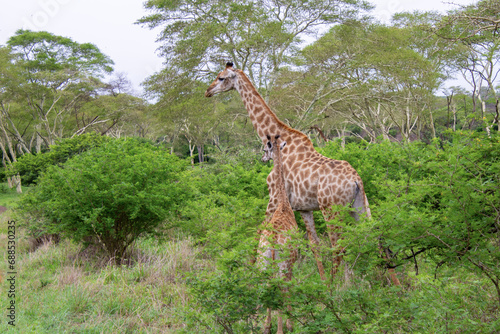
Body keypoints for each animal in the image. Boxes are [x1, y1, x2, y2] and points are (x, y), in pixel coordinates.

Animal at [205, 62, 400, 284]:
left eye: (221, 77)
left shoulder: (274, 197)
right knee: (376, 238)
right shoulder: (304, 208)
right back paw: (393, 285)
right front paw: (321, 280)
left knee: (338, 246)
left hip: (331, 208)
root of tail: (356, 179)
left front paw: (248, 273)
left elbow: (257, 233)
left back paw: (335, 286)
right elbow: (314, 244)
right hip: (359, 205)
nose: (208, 91)